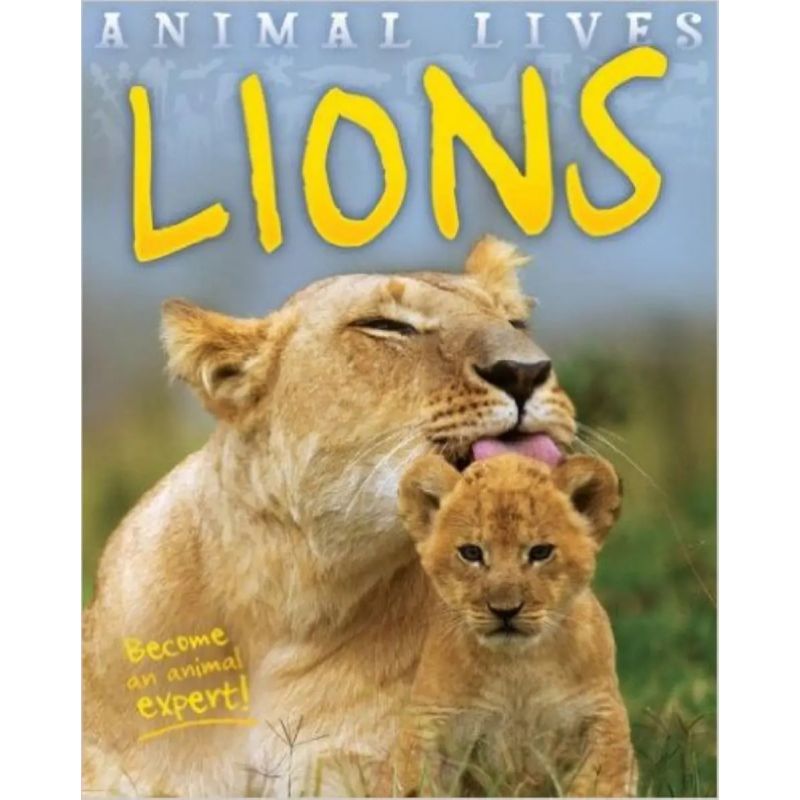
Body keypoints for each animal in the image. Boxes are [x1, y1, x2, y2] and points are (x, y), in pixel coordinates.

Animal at [380, 453, 635, 798]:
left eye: (540, 551)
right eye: (471, 552)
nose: (505, 610)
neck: (517, 668)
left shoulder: (602, 715)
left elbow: (598, 785)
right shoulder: (429, 723)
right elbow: (416, 784)